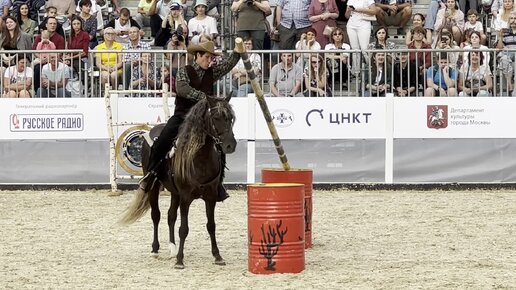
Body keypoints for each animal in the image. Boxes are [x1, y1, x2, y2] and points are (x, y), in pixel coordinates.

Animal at [120, 95, 237, 270]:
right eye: (216, 117)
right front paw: (180, 260)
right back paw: (155, 249)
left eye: (230, 118)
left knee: (171, 216)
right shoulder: (186, 198)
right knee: (156, 215)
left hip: (175, 192)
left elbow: (211, 225)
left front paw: (217, 256)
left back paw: (172, 248)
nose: (230, 145)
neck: (199, 159)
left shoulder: (210, 197)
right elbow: (184, 229)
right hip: (154, 187)